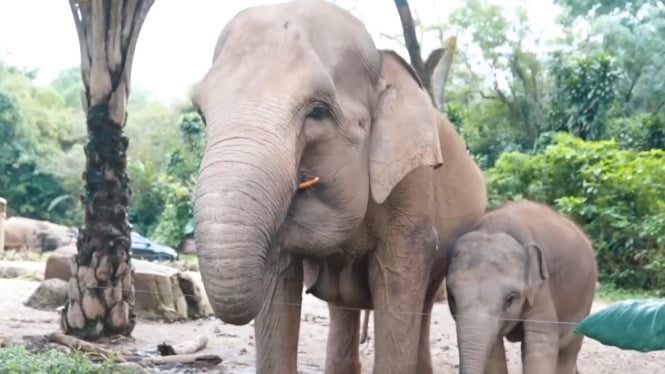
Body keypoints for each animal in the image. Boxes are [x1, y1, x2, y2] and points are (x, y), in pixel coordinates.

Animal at [446, 200, 596, 374]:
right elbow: (493, 350)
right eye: (452, 298)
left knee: (568, 348)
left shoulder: (540, 289)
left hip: (584, 298)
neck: (494, 227)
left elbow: (540, 342)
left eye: (510, 299)